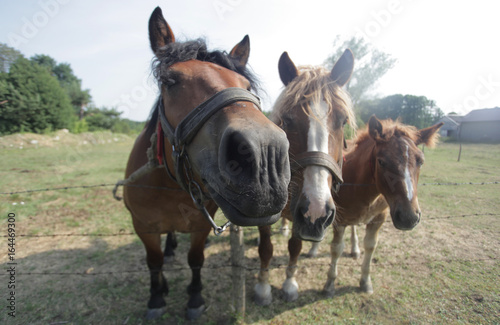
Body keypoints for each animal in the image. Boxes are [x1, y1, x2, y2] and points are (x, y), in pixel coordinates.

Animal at [121, 7, 292, 318]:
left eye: (247, 86)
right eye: (169, 82)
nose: (264, 156)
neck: (169, 187)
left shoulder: (200, 228)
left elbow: (195, 259)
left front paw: (194, 298)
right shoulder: (143, 227)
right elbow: (154, 262)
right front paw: (156, 297)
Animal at [256, 48, 358, 304]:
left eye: (342, 121)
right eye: (288, 120)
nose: (317, 211)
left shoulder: (302, 218)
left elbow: (294, 247)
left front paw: (290, 284)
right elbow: (266, 248)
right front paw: (262, 287)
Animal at [320, 116, 442, 296]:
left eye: (421, 161)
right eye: (382, 161)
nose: (409, 217)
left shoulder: (378, 218)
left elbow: (371, 246)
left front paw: (365, 282)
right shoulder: (339, 219)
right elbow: (336, 248)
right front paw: (329, 284)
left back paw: (355, 249)